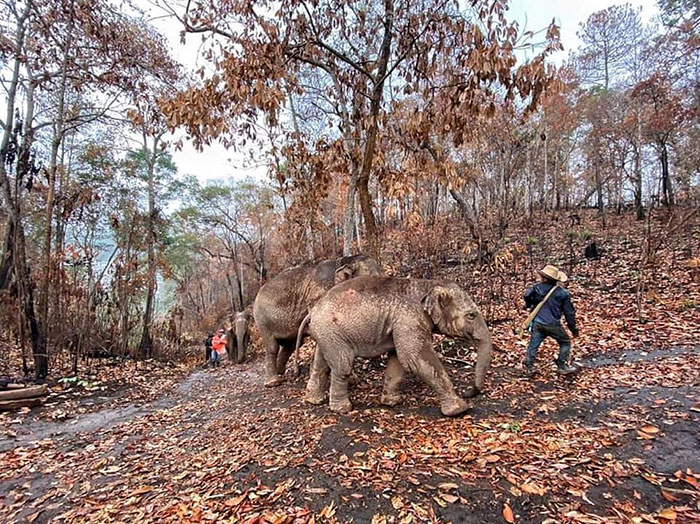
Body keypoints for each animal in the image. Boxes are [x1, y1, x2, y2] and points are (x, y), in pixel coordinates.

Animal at [253, 254, 382, 387]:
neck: (346, 261)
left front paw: (353, 381)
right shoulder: (319, 295)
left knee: (291, 345)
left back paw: (281, 372)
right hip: (262, 319)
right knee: (272, 347)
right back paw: (274, 382)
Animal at [303, 276, 493, 417]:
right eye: (471, 315)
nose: (469, 391)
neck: (427, 285)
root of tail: (313, 311)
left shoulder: (401, 324)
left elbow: (398, 360)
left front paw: (392, 402)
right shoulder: (409, 318)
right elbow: (414, 358)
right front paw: (459, 409)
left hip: (326, 334)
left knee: (321, 363)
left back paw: (313, 400)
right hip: (332, 332)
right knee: (343, 366)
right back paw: (343, 409)